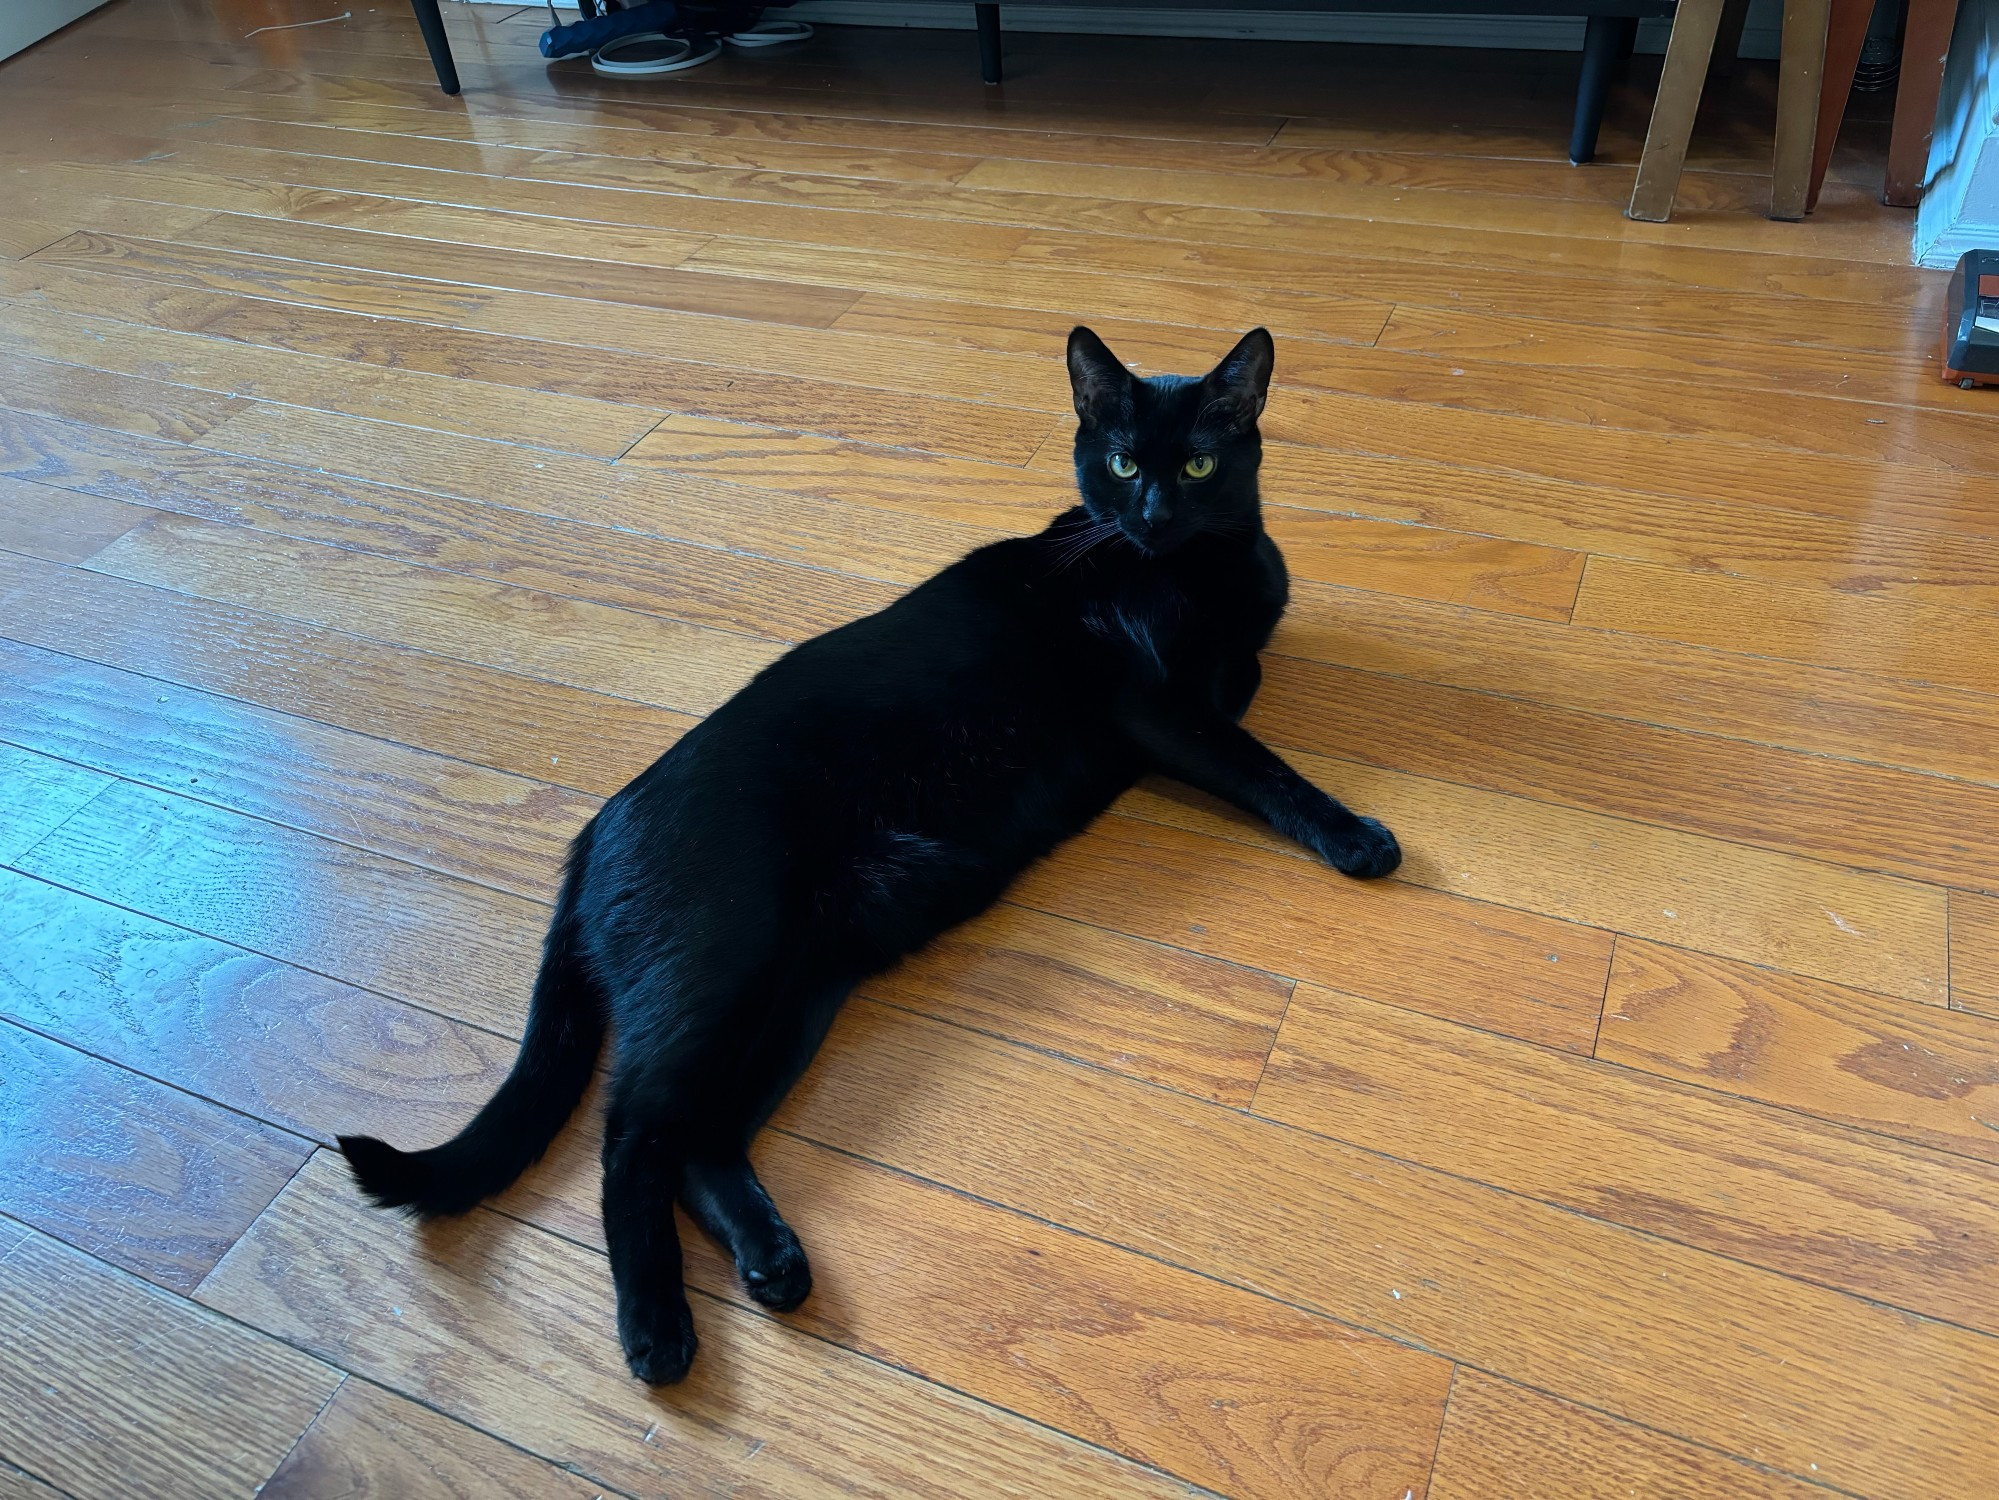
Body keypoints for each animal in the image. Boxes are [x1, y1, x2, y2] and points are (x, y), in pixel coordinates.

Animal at [339, 326, 1407, 1384]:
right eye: (1119, 462)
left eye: (1194, 466)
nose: (1148, 514)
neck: (1198, 568)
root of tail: (591, 833)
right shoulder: (1158, 707)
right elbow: (1261, 762)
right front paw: (1354, 835)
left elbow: (1248, 674)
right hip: (723, 959)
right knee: (632, 1130)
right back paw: (656, 1329)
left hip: (798, 986)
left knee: (696, 1141)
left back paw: (772, 1264)